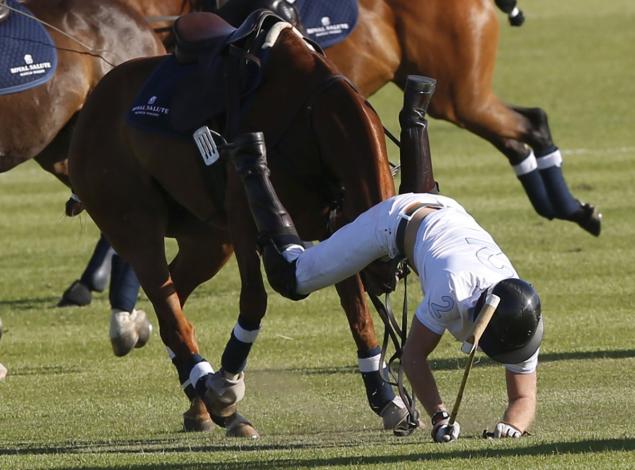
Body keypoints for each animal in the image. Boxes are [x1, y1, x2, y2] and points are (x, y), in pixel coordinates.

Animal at [68, 11, 398, 436]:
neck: (310, 114)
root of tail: (92, 100)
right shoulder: (244, 215)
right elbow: (255, 299)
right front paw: (226, 383)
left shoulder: (335, 228)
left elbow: (356, 311)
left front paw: (385, 397)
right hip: (133, 223)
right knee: (169, 309)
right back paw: (216, 397)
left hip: (206, 239)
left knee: (171, 300)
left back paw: (201, 405)